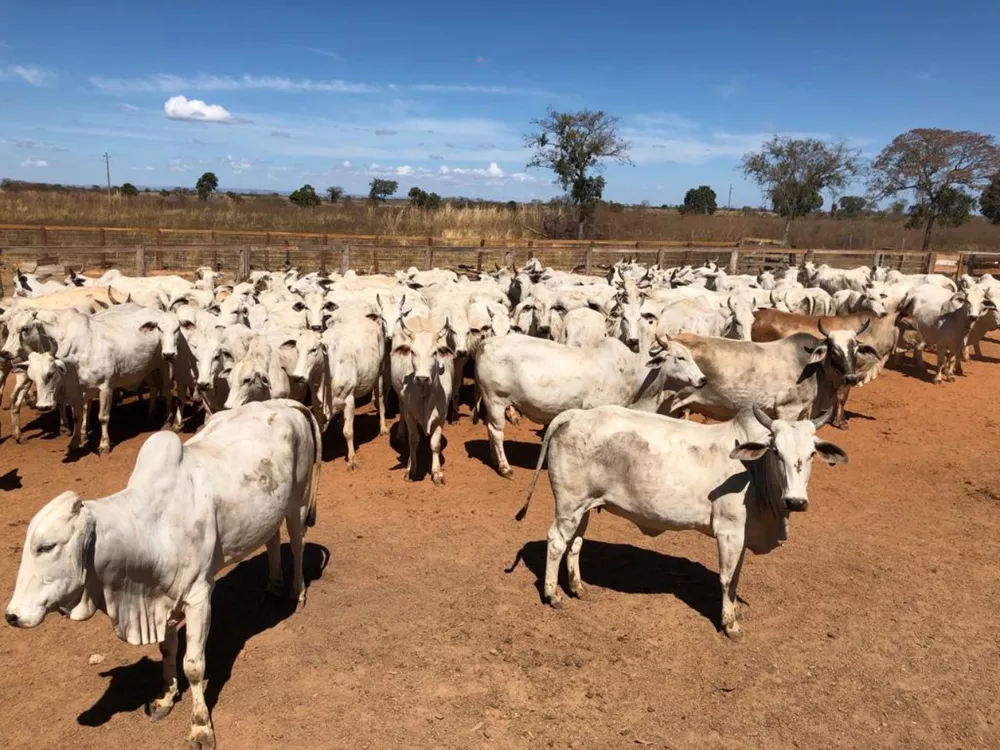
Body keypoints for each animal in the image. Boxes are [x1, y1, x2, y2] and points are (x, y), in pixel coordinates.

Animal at [3, 400, 322, 750]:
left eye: (47, 546)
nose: (12, 615)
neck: (149, 529)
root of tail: (281, 403)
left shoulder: (198, 595)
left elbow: (193, 665)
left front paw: (200, 727)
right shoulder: (163, 598)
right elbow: (168, 651)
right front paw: (166, 699)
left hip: (298, 500)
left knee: (297, 543)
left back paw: (296, 593)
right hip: (269, 512)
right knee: (272, 540)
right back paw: (273, 587)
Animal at [512, 406, 848, 640]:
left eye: (812, 453)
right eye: (776, 451)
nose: (796, 501)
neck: (754, 473)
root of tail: (575, 414)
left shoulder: (741, 534)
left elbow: (737, 576)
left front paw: (735, 610)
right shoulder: (728, 531)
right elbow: (727, 579)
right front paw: (730, 624)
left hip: (585, 506)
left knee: (576, 543)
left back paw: (577, 587)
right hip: (569, 504)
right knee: (557, 541)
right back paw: (553, 595)